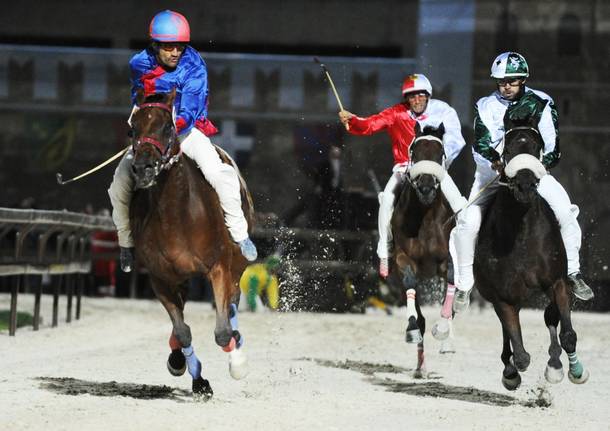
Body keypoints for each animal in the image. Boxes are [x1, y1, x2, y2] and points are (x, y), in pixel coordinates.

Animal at [127, 89, 253, 400]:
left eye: (167, 127)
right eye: (132, 128)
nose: (143, 168)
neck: (175, 214)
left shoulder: (218, 267)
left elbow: (222, 331)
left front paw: (237, 364)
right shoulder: (160, 277)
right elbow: (183, 331)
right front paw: (198, 380)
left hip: (236, 265)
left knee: (233, 302)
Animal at [390, 122, 456, 378]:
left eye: (440, 153)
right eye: (414, 152)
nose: (426, 188)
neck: (424, 218)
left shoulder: (445, 259)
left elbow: (451, 278)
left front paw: (445, 331)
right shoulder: (403, 256)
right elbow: (409, 281)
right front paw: (411, 329)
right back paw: (421, 366)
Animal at [472, 117, 588, 392]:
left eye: (537, 147)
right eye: (507, 149)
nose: (525, 186)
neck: (521, 233)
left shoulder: (556, 281)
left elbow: (566, 332)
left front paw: (572, 370)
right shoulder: (503, 296)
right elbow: (520, 353)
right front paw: (512, 372)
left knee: (551, 317)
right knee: (509, 336)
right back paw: (511, 369)